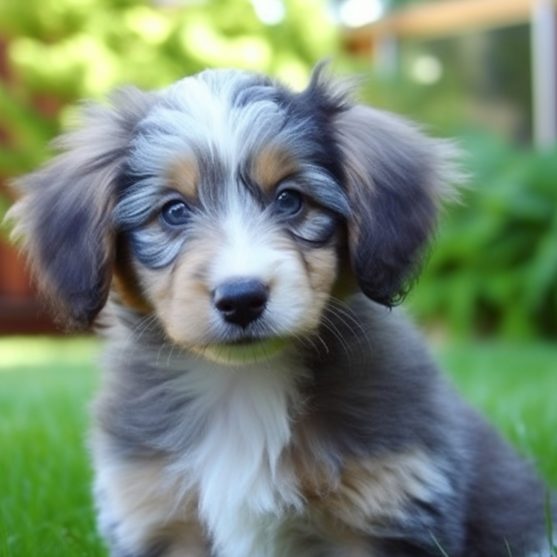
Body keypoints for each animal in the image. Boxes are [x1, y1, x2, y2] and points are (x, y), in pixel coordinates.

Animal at [7, 66, 552, 556]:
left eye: (291, 199)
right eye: (173, 211)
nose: (242, 298)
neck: (243, 384)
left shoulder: (386, 512)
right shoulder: (157, 516)